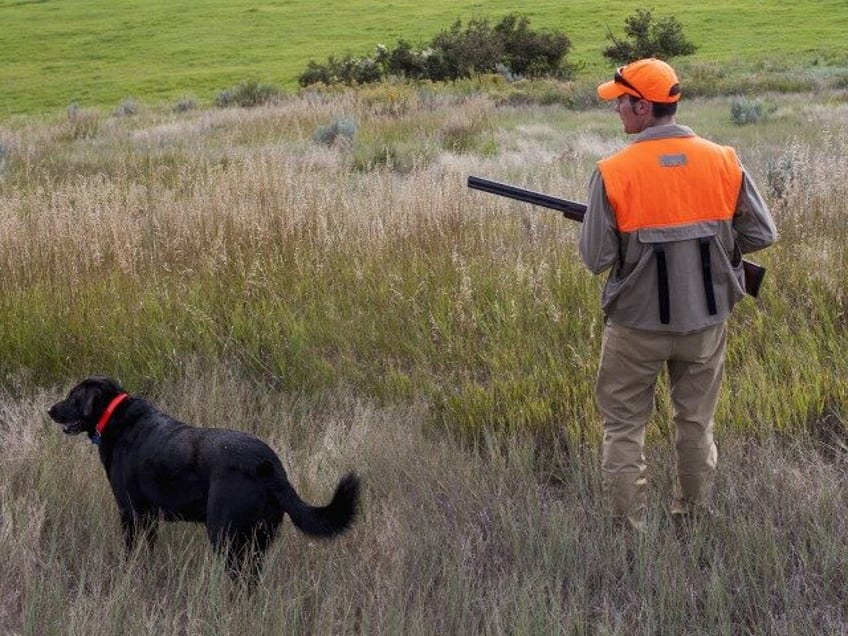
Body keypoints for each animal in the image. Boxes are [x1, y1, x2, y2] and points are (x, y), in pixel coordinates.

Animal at [47, 376, 358, 584]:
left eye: (73, 396)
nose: (50, 410)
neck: (116, 417)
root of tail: (268, 464)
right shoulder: (149, 518)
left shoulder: (131, 513)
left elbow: (130, 554)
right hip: (258, 541)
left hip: (225, 535)